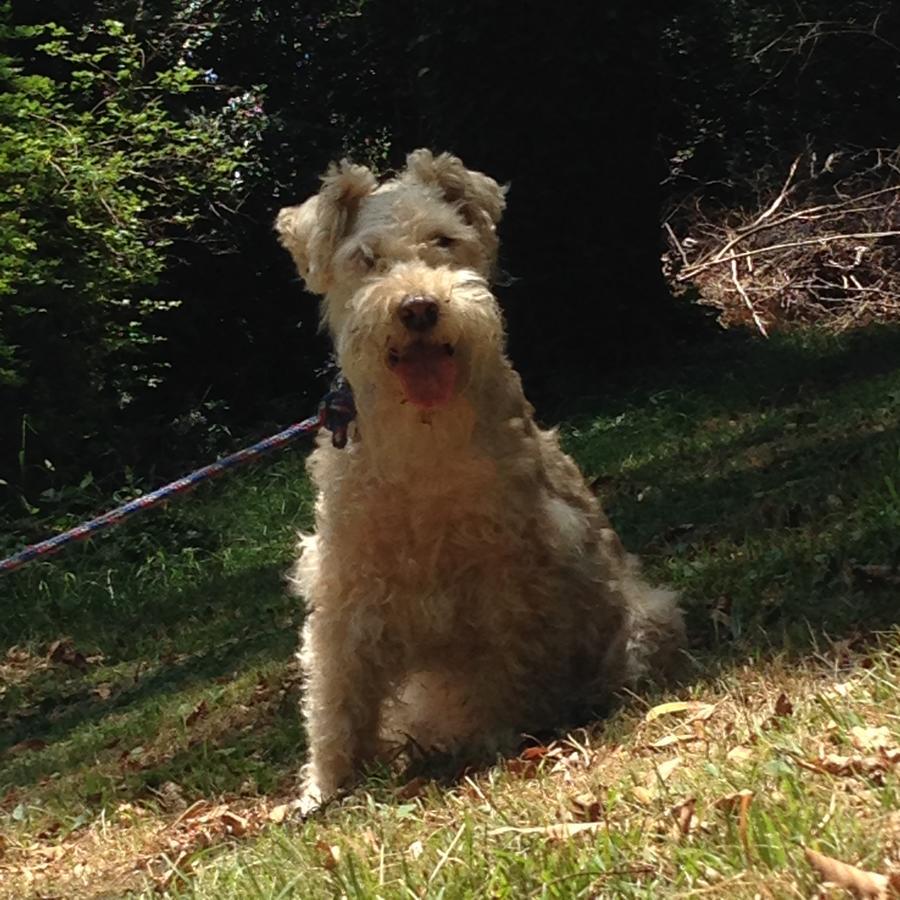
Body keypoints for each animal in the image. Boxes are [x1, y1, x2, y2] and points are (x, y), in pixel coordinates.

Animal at [274, 148, 684, 808]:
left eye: (444, 240)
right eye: (366, 257)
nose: (418, 307)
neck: (423, 443)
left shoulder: (509, 578)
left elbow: (500, 672)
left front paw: (497, 743)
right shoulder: (345, 591)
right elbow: (335, 699)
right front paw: (322, 791)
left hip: (648, 619)